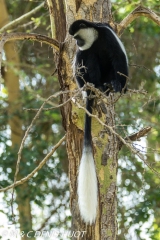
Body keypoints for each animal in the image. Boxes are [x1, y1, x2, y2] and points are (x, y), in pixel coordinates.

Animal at [69, 19, 129, 224]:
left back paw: (109, 86)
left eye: (76, 37)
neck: (95, 40)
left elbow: (118, 58)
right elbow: (82, 60)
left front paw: (120, 85)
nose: (76, 43)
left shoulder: (108, 36)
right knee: (88, 59)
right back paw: (95, 88)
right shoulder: (85, 50)